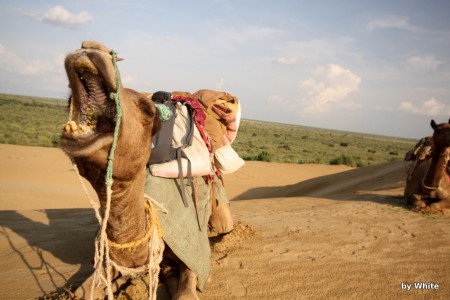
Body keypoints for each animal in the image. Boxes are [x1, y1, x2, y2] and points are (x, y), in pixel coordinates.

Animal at [59, 41, 203, 298]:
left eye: (147, 110)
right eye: (68, 101)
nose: (92, 46)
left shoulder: (189, 256)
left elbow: (187, 288)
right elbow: (86, 290)